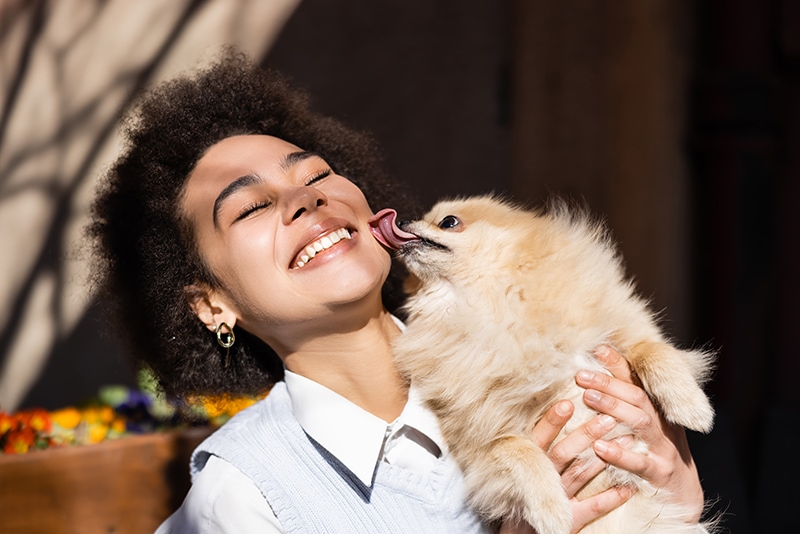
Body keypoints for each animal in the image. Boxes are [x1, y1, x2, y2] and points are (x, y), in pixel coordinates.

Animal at [368, 198, 712, 534]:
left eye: (449, 222)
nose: (403, 221)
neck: (490, 305)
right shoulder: (480, 441)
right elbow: (514, 449)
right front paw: (552, 510)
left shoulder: (620, 335)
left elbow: (651, 350)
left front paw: (692, 407)